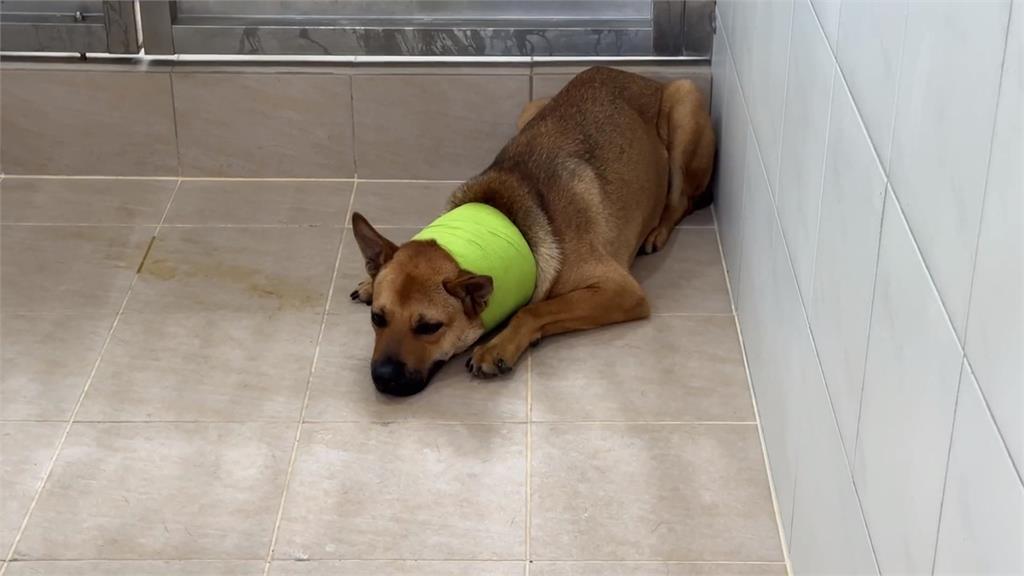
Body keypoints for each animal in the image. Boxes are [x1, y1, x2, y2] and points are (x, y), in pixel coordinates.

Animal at [350, 66, 715, 396]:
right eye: (377, 319)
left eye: (429, 327)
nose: (382, 378)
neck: (508, 218)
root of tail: (643, 77)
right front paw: (370, 281)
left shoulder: (621, 290)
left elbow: (534, 308)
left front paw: (499, 346)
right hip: (530, 109)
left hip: (685, 104)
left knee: (681, 200)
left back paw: (657, 232)